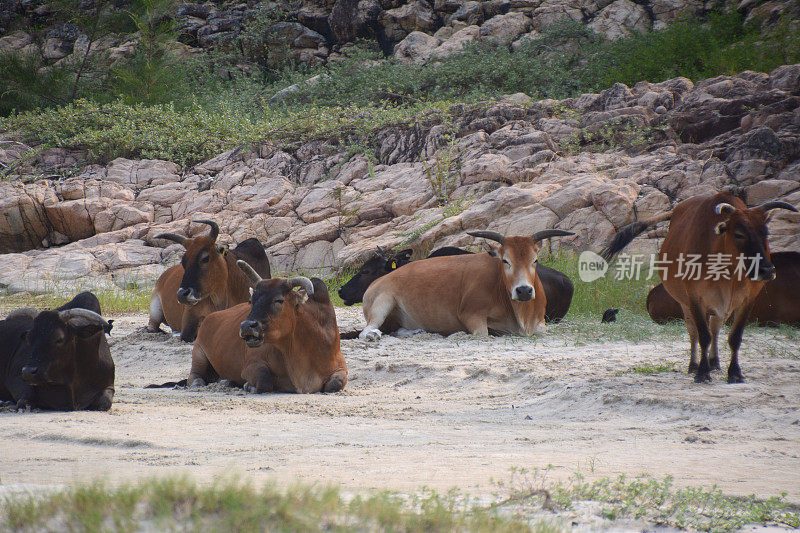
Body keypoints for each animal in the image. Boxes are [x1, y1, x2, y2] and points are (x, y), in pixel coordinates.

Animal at [191, 260, 350, 392]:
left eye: (279, 300)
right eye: (251, 300)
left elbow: (334, 384)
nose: (247, 326)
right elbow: (264, 381)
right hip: (198, 352)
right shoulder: (251, 365)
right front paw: (248, 385)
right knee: (193, 376)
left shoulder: (340, 367)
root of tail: (210, 317)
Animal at [360, 227, 572, 338]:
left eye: (535, 260)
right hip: (382, 302)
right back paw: (373, 335)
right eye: (505, 261)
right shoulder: (471, 315)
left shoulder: (541, 323)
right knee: (366, 331)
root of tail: (374, 283)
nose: (524, 291)